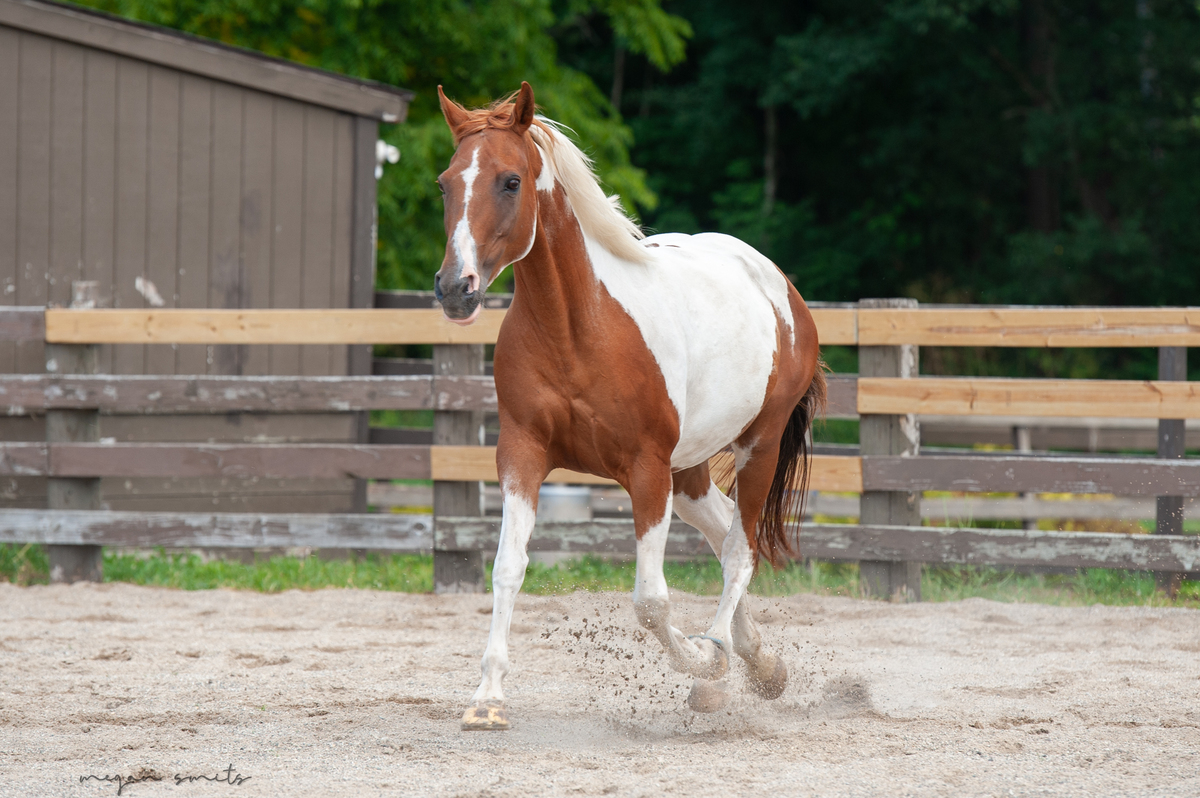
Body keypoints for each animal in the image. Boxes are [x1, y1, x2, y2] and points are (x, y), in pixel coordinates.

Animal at [434, 82, 825, 730]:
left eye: (510, 181)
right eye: (445, 183)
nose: (454, 288)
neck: (579, 327)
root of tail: (779, 285)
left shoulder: (645, 471)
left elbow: (650, 602)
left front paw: (701, 663)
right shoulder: (521, 454)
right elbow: (507, 569)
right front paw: (486, 699)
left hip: (757, 447)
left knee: (739, 550)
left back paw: (719, 662)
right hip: (688, 471)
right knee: (723, 534)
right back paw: (760, 663)